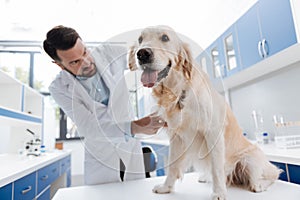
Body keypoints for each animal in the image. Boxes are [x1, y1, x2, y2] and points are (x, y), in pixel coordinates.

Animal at [127, 25, 282, 199]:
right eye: (140, 39)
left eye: (165, 38)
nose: (142, 54)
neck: (176, 91)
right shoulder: (176, 137)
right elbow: (173, 166)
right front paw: (166, 187)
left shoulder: (213, 132)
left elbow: (216, 168)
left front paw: (219, 192)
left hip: (250, 160)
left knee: (273, 174)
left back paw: (259, 184)